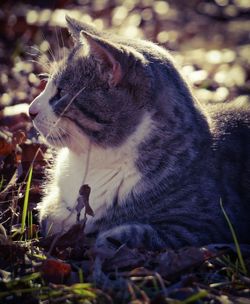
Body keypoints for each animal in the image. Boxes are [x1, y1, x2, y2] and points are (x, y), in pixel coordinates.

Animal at [27, 16, 250, 252]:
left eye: (60, 93)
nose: (30, 110)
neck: (93, 162)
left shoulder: (207, 223)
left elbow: (129, 234)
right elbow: (49, 213)